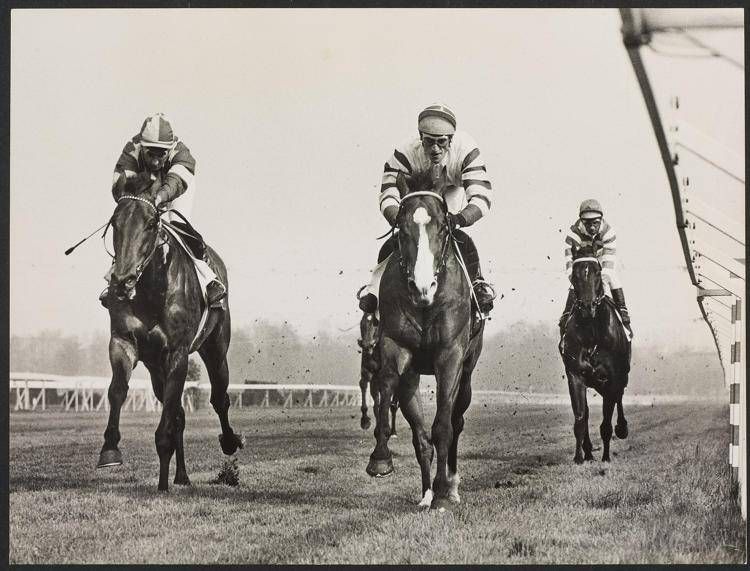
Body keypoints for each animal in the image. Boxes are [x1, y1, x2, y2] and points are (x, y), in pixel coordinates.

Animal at [98, 172, 245, 490]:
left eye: (152, 222)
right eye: (115, 222)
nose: (122, 281)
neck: (152, 291)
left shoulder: (178, 352)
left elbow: (172, 413)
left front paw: (162, 481)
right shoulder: (123, 342)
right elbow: (118, 391)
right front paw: (110, 449)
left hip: (215, 348)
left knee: (219, 397)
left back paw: (228, 442)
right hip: (156, 367)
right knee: (178, 412)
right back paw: (180, 475)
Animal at [366, 168, 484, 512]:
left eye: (443, 227)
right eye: (401, 229)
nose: (422, 287)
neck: (424, 304)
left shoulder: (450, 356)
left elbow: (443, 426)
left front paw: (444, 492)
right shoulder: (395, 348)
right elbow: (387, 392)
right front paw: (380, 459)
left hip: (467, 372)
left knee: (456, 420)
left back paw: (449, 486)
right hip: (413, 375)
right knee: (420, 434)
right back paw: (427, 492)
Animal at [560, 244, 632, 462]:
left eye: (597, 272)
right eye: (574, 274)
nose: (587, 306)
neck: (592, 333)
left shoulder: (611, 379)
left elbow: (606, 424)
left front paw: (606, 457)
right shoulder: (575, 375)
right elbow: (581, 418)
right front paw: (579, 457)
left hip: (621, 378)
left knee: (619, 398)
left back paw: (622, 428)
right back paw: (589, 451)